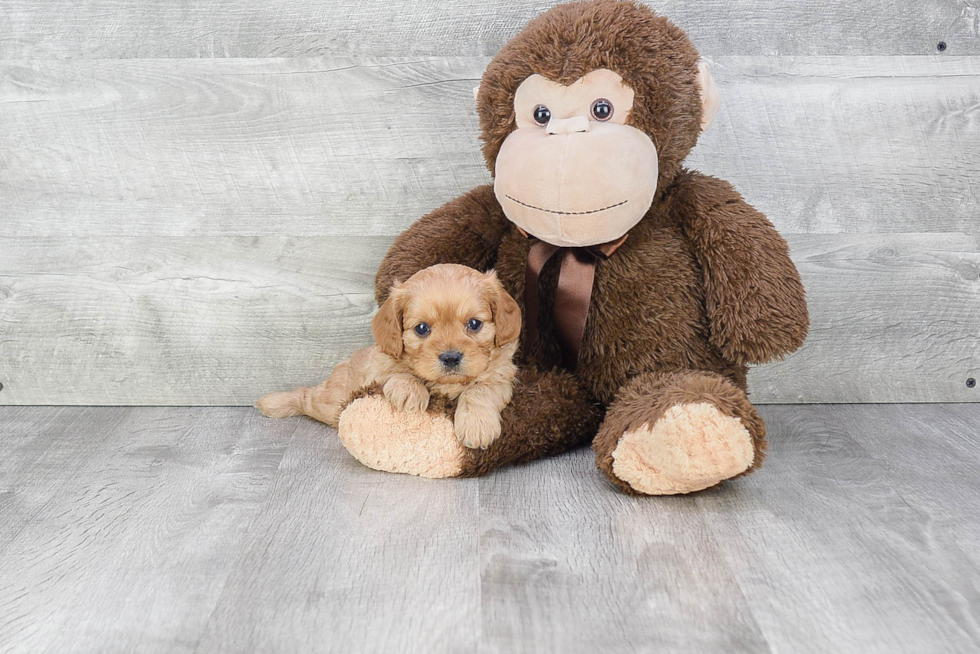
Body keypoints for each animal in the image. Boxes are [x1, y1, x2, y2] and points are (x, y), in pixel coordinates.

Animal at [256, 266, 524, 452]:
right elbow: (398, 371)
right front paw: (410, 391)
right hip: (332, 401)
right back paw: (273, 402)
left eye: (475, 324)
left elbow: (478, 390)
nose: (450, 357)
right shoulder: (378, 365)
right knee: (306, 397)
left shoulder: (501, 376)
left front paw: (477, 426)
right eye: (422, 329)